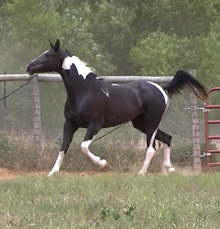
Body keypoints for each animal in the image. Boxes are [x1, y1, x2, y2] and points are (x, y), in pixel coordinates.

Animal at [26, 39, 208, 175]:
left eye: (49, 54)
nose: (29, 66)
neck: (85, 91)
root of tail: (161, 89)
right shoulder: (70, 124)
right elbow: (63, 148)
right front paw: (52, 173)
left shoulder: (95, 125)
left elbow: (83, 146)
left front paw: (103, 164)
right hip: (140, 123)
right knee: (167, 138)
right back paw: (169, 168)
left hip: (152, 122)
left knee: (151, 148)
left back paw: (141, 173)